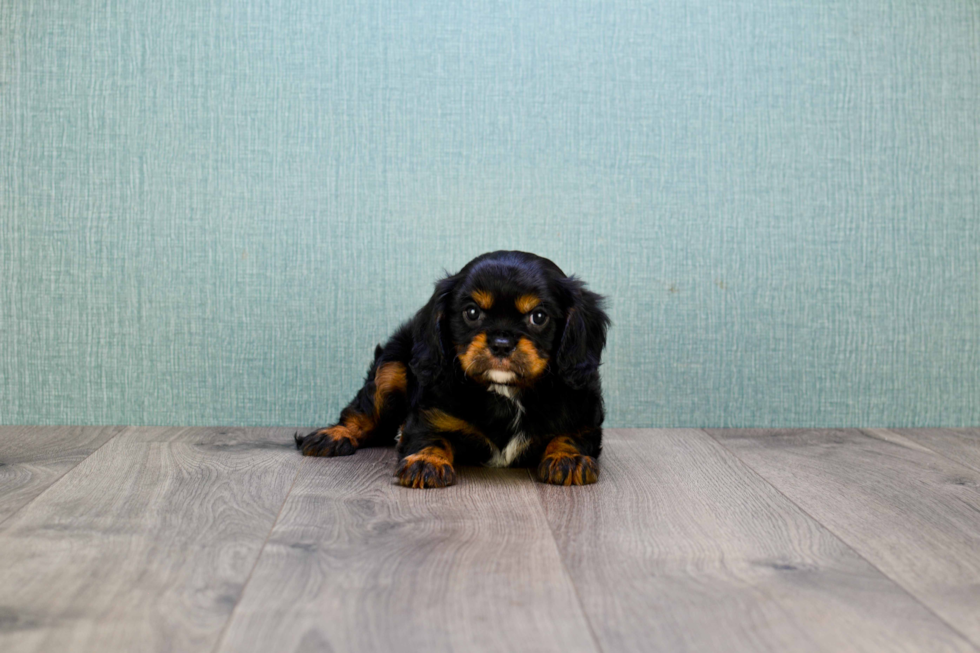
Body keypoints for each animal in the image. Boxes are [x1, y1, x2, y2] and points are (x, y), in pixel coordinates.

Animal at [294, 250, 608, 484]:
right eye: (472, 312)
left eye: (539, 317)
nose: (501, 343)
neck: (505, 392)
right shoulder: (431, 414)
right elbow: (429, 437)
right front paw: (425, 462)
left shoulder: (582, 416)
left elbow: (571, 436)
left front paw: (567, 459)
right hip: (391, 367)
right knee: (363, 412)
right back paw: (333, 435)